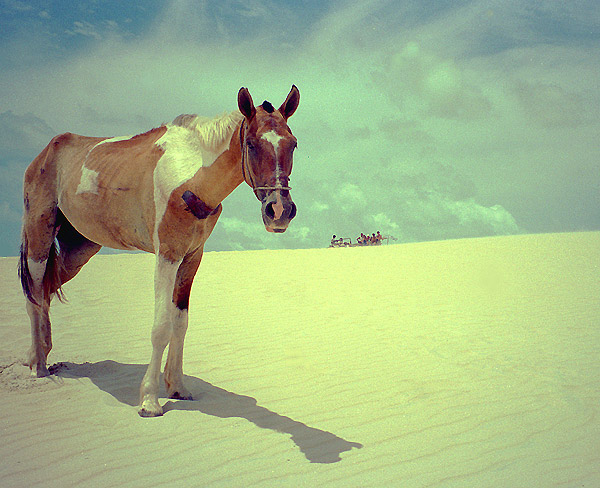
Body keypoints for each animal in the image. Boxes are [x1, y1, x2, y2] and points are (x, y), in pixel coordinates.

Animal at [18, 86, 300, 418]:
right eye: (252, 145)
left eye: (293, 144)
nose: (279, 211)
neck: (191, 179)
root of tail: (45, 152)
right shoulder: (167, 255)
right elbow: (162, 327)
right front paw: (150, 399)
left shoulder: (191, 258)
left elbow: (181, 322)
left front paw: (177, 386)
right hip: (39, 239)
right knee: (34, 295)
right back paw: (37, 365)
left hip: (81, 249)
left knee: (47, 292)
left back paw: (41, 353)